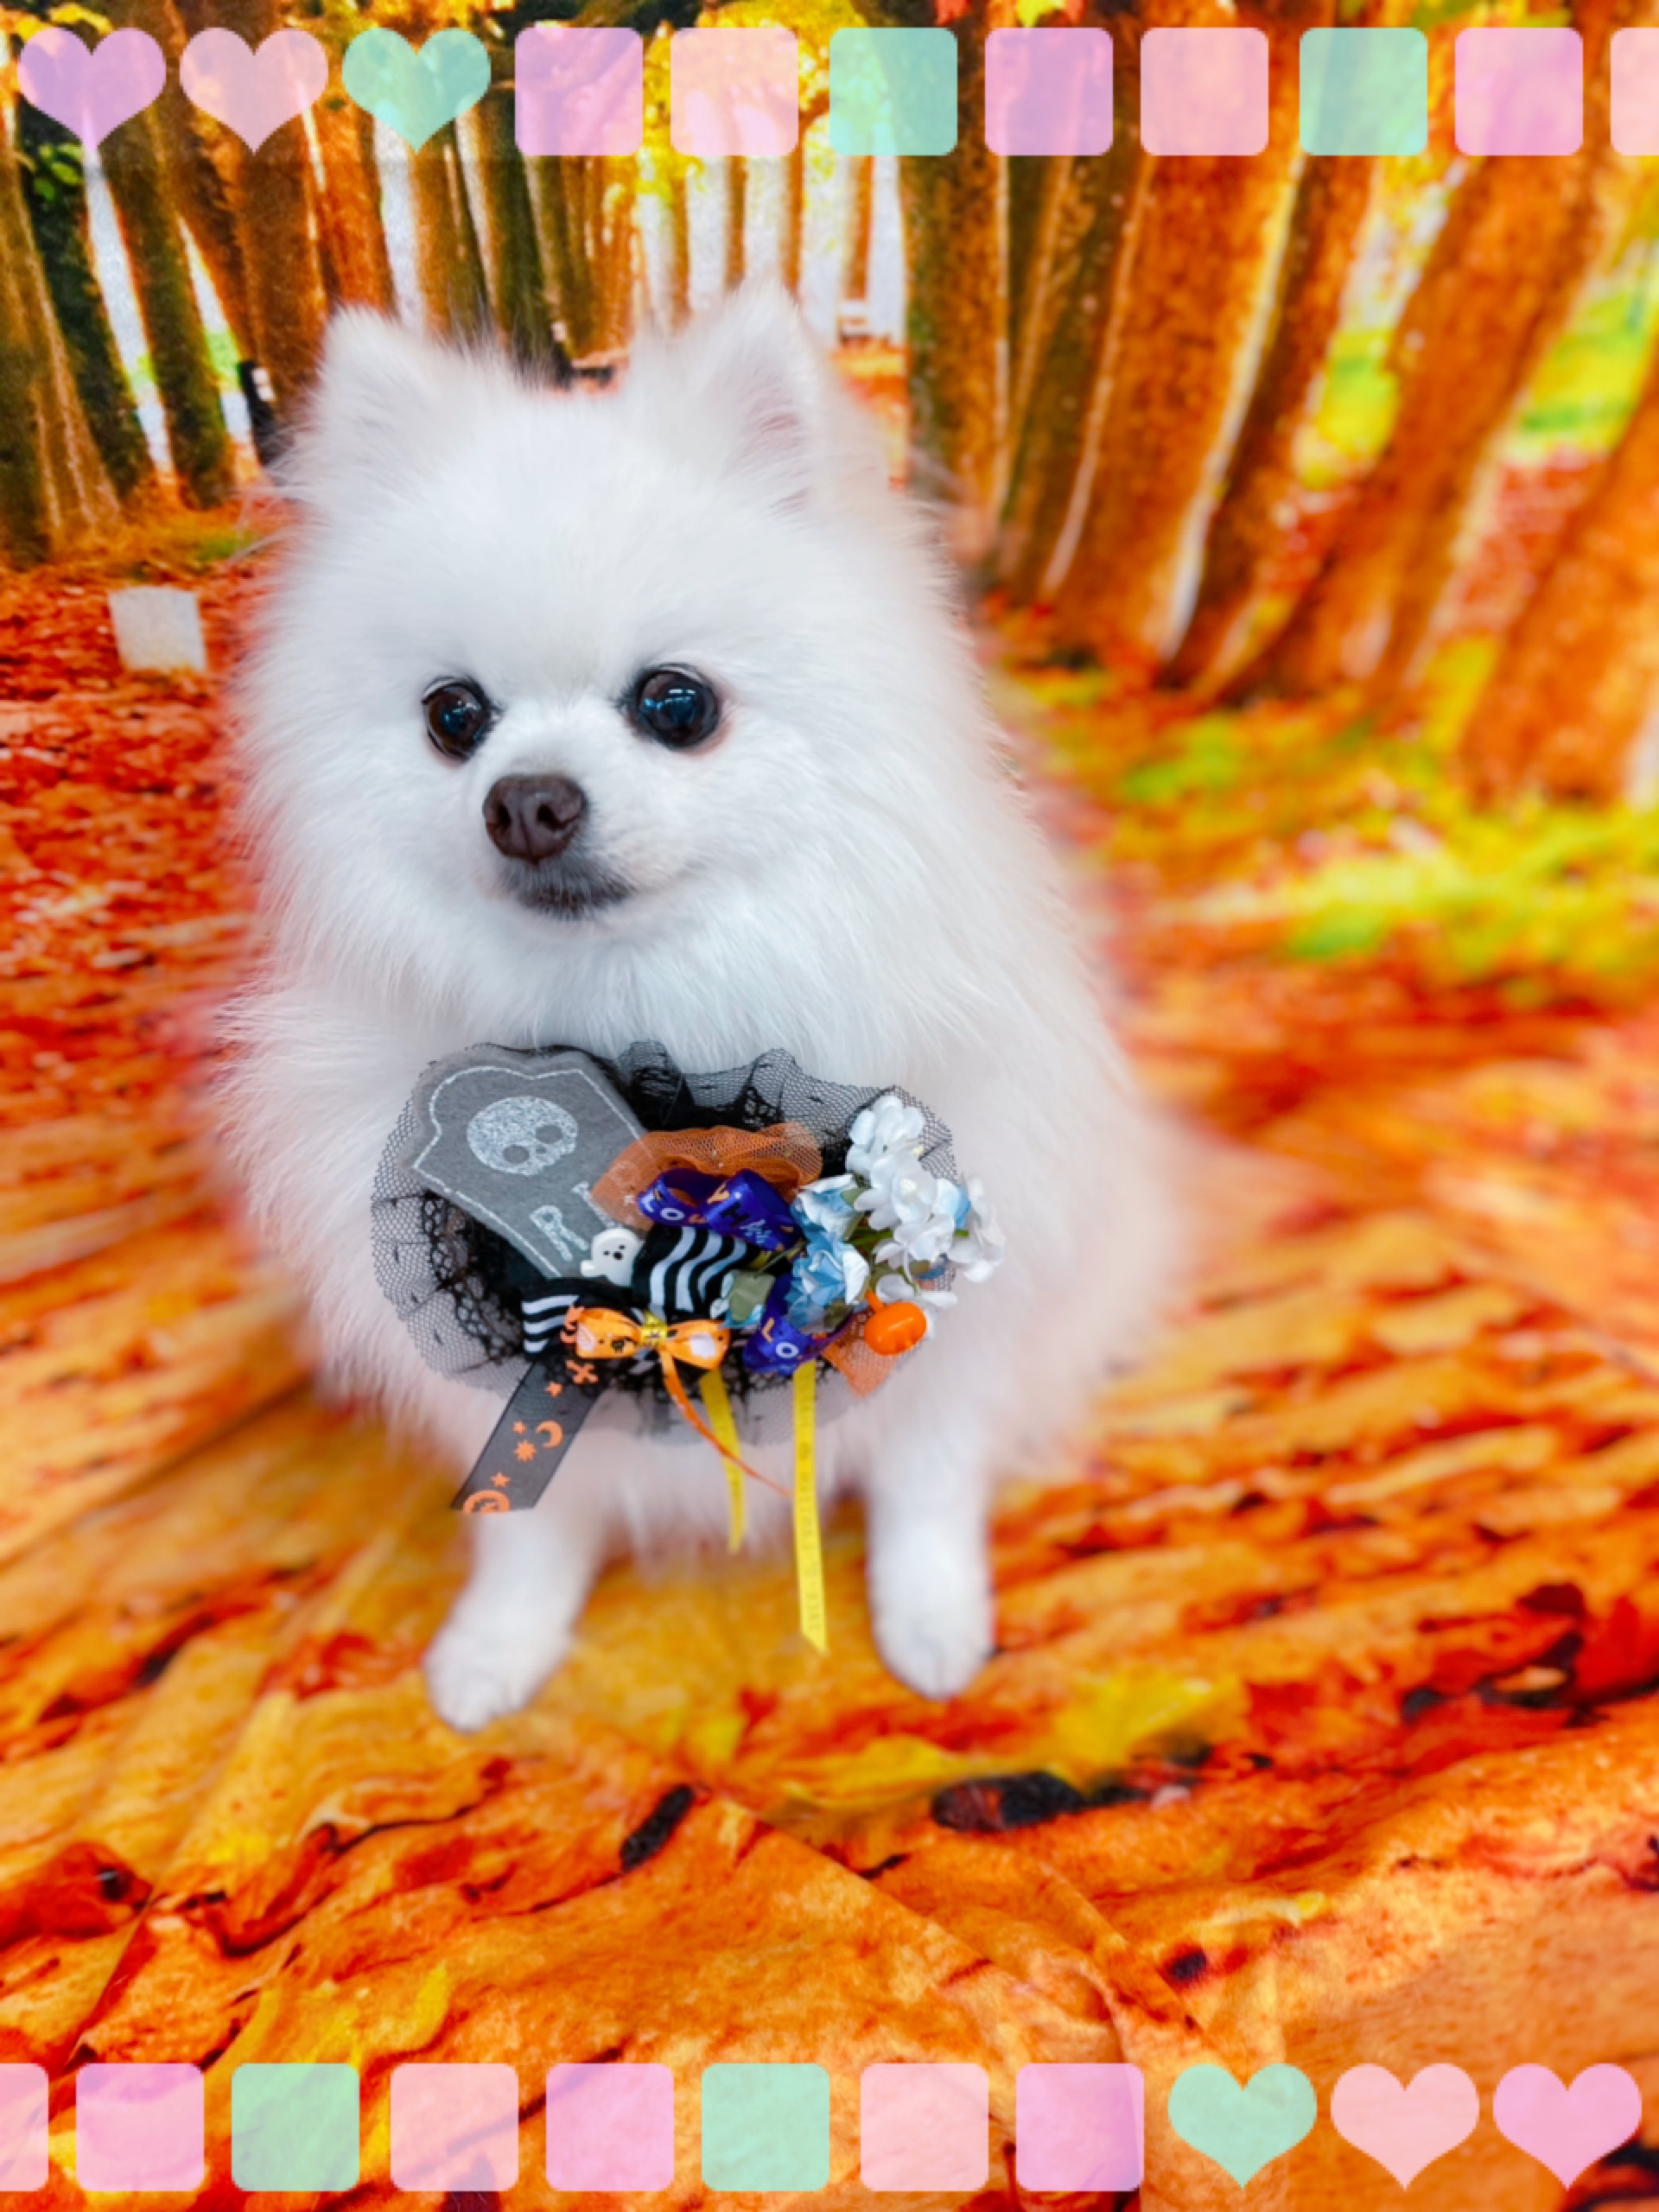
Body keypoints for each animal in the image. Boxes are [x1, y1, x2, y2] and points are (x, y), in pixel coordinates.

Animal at [222, 288, 1176, 1732]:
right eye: (454, 717)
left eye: (677, 704)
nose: (527, 801)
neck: (639, 1023)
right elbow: (530, 1515)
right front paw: (499, 1646)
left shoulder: (959, 1311)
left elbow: (929, 1479)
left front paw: (932, 1622)